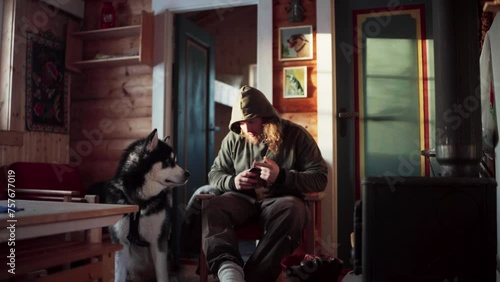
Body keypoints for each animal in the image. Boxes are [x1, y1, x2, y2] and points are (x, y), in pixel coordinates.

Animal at [88, 129, 189, 280]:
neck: (140, 202)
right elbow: (119, 276)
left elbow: (162, 275)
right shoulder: (121, 242)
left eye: (175, 161)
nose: (188, 174)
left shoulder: (158, 241)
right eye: (168, 161)